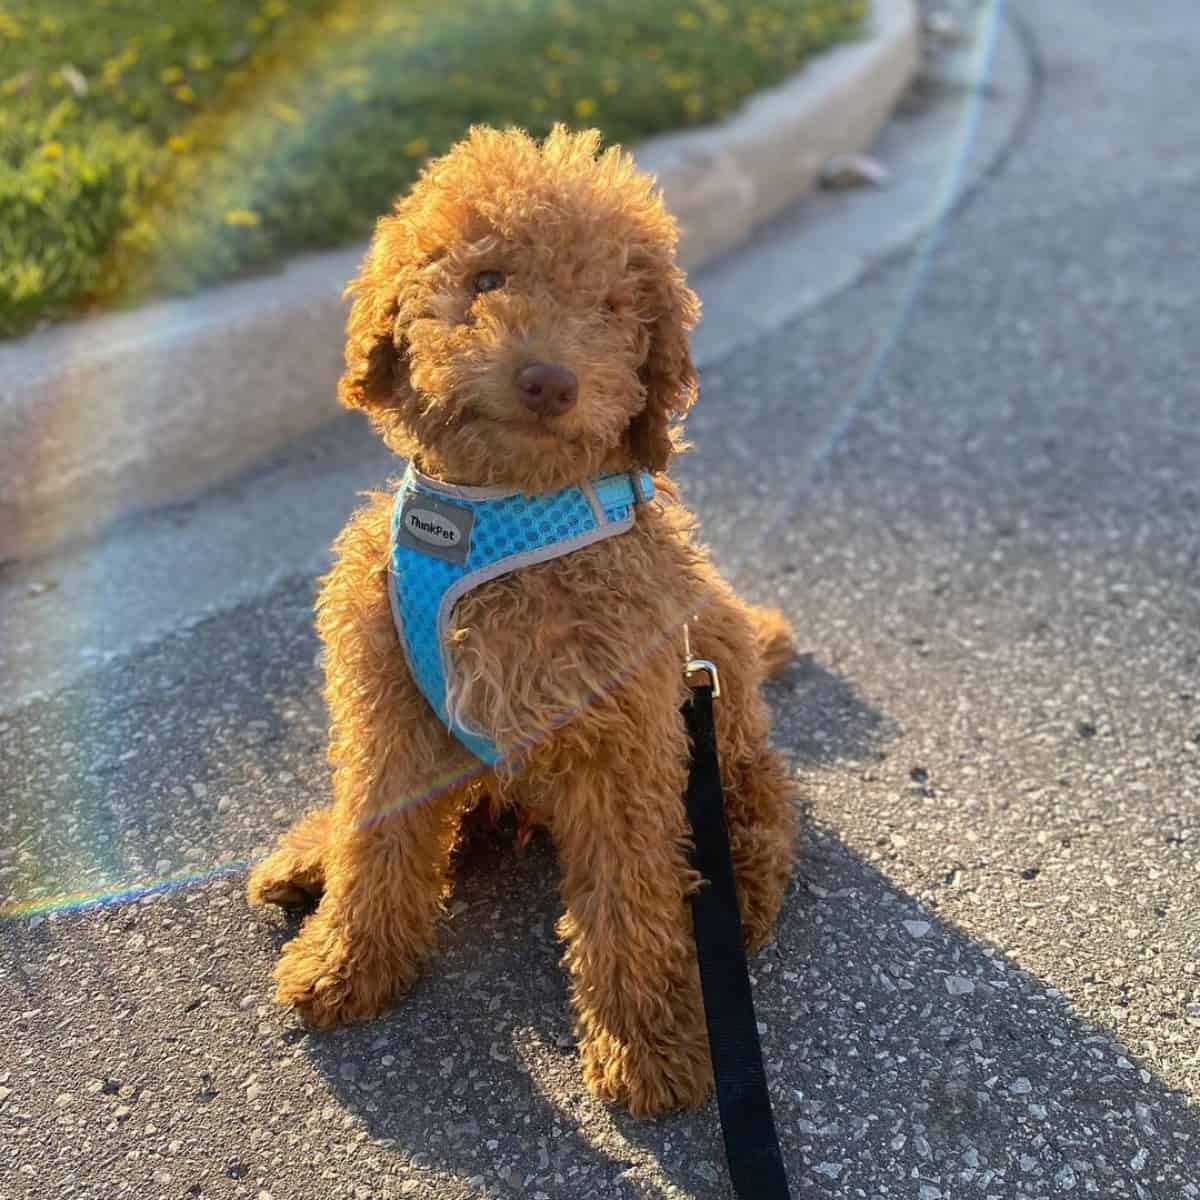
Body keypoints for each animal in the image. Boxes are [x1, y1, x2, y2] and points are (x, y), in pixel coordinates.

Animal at [248, 124, 796, 1113]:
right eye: (488, 278)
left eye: (613, 307)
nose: (547, 379)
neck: (497, 517)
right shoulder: (390, 707)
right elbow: (376, 837)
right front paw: (347, 963)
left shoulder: (625, 747)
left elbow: (628, 897)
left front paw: (645, 1042)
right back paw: (310, 855)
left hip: (723, 743)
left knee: (765, 815)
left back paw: (733, 903)